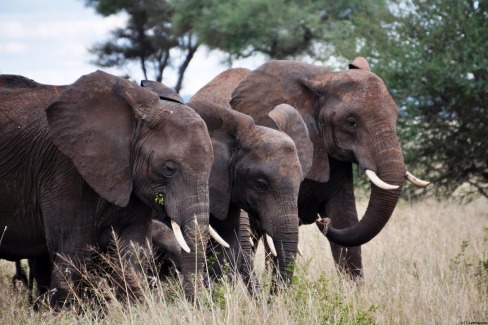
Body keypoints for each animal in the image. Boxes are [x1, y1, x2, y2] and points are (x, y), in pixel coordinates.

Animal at [0, 71, 214, 306]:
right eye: (169, 168)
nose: (193, 302)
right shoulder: (65, 166)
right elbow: (72, 246)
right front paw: (64, 311)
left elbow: (133, 248)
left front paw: (134, 307)